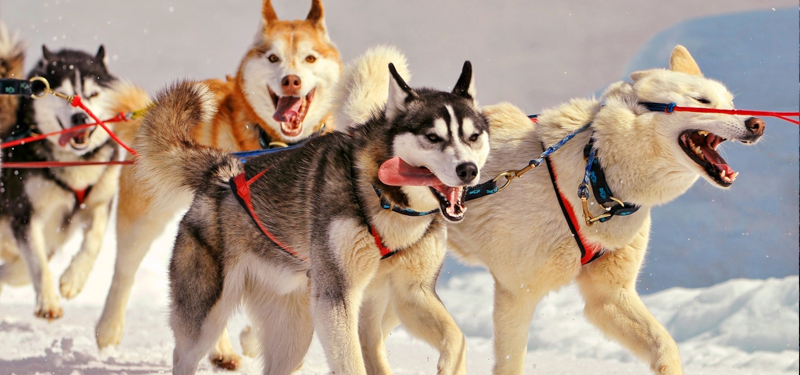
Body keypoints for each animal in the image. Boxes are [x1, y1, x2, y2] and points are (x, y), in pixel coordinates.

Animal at [136, 51, 488, 374]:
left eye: (473, 137)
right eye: (432, 137)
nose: (468, 170)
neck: (383, 196)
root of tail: (222, 171)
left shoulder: (411, 293)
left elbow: (456, 337)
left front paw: (449, 366)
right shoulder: (336, 296)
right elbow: (351, 363)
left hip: (294, 331)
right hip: (205, 319)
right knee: (187, 352)